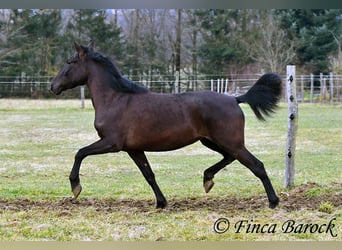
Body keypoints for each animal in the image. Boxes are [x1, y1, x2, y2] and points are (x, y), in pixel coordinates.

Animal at [50, 41, 280, 209]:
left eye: (70, 62)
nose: (53, 86)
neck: (115, 99)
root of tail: (235, 99)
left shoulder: (111, 143)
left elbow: (80, 153)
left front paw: (75, 187)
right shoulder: (134, 149)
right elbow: (149, 174)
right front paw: (161, 203)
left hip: (229, 142)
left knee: (257, 165)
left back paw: (273, 202)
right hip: (211, 141)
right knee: (230, 158)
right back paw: (207, 179)